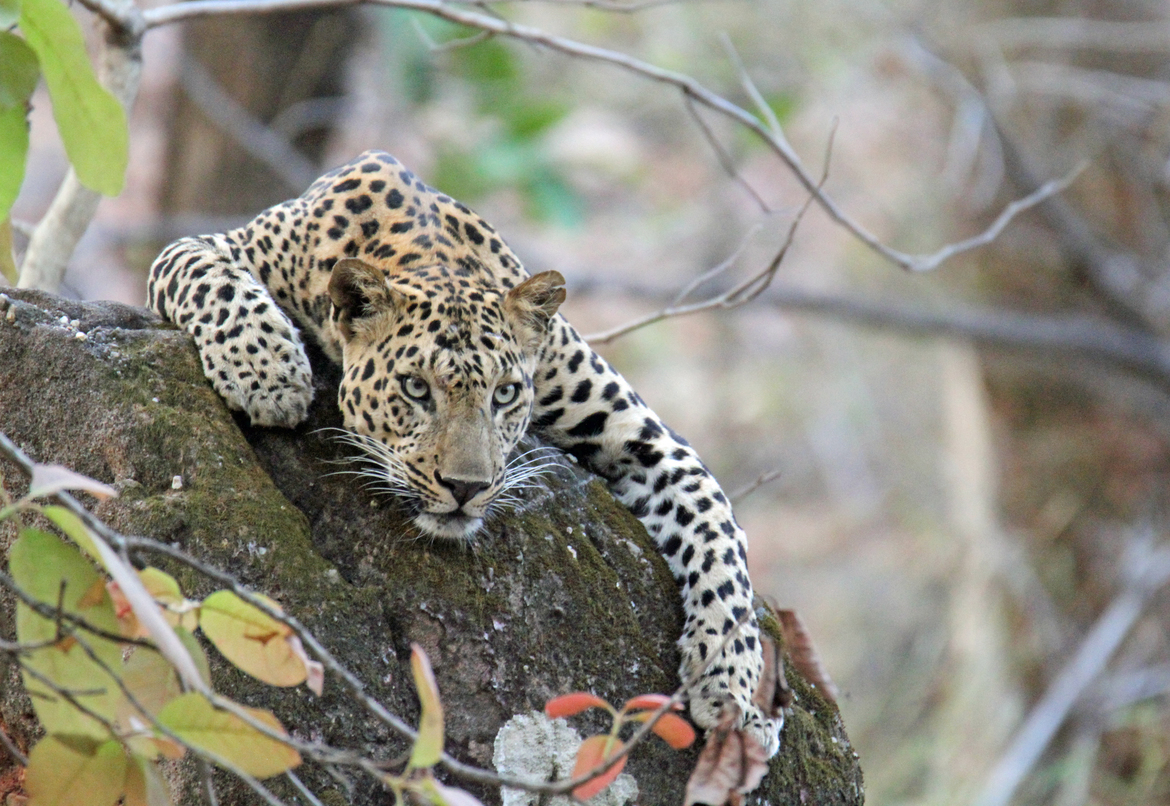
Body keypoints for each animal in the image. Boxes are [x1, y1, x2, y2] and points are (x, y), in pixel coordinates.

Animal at [147, 150, 782, 757]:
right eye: (415, 388)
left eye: (504, 393)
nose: (466, 488)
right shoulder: (213, 244)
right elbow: (205, 274)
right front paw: (267, 372)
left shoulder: (645, 437)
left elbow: (719, 535)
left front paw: (733, 692)